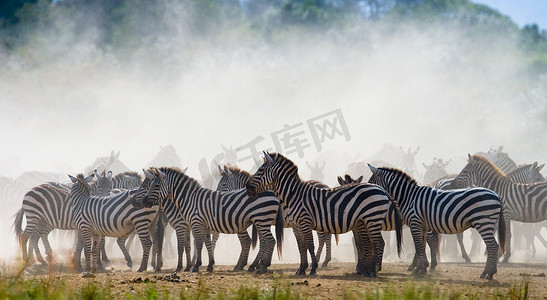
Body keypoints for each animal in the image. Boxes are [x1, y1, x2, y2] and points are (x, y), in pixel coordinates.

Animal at [132, 166, 282, 274]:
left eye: (155, 186)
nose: (142, 202)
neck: (189, 199)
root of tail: (271, 192)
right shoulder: (202, 226)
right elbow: (205, 245)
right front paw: (207, 265)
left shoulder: (192, 224)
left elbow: (194, 245)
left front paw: (192, 266)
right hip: (261, 221)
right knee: (264, 241)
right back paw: (254, 265)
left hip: (261, 219)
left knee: (269, 240)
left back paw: (262, 266)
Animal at [246, 152, 400, 276]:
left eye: (261, 170)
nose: (247, 188)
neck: (293, 195)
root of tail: (381, 189)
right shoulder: (296, 225)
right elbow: (301, 246)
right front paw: (301, 269)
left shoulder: (305, 222)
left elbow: (310, 245)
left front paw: (313, 268)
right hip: (366, 221)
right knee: (372, 243)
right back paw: (368, 270)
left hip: (372, 218)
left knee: (379, 242)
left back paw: (374, 270)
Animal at [368, 164, 506, 278]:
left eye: (371, 182)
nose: (368, 193)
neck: (409, 196)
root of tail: (496, 195)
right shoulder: (422, 225)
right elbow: (422, 246)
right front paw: (421, 269)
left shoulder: (415, 222)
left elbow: (419, 246)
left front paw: (418, 269)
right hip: (490, 224)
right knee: (491, 246)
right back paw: (488, 272)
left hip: (483, 222)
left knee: (492, 246)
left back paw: (488, 273)